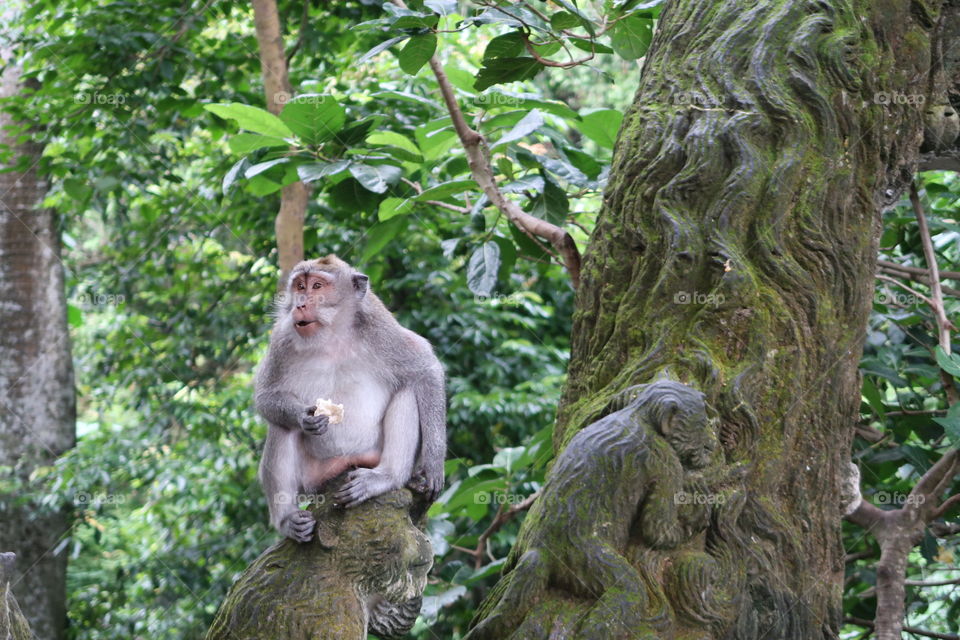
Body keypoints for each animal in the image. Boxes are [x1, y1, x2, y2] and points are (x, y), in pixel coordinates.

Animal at [254, 255, 446, 542]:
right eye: (300, 286)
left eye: (318, 286)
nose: (300, 304)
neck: (333, 333)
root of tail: (343, 463)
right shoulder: (281, 338)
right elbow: (266, 396)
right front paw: (304, 417)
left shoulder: (381, 328)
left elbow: (425, 368)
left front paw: (433, 464)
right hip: (314, 478)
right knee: (281, 426)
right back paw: (288, 520)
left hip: (371, 454)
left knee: (407, 391)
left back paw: (386, 477)